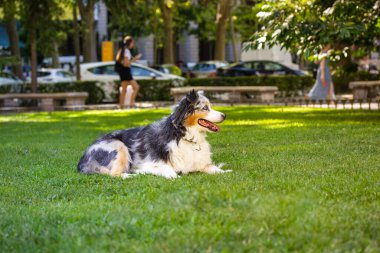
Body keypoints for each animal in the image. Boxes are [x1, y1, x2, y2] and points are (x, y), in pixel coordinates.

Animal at [76, 90, 232, 179]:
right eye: (205, 108)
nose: (224, 115)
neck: (184, 135)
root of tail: (82, 161)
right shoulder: (149, 162)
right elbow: (169, 170)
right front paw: (171, 175)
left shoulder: (201, 163)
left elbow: (214, 168)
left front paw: (225, 171)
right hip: (118, 146)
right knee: (114, 174)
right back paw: (131, 175)